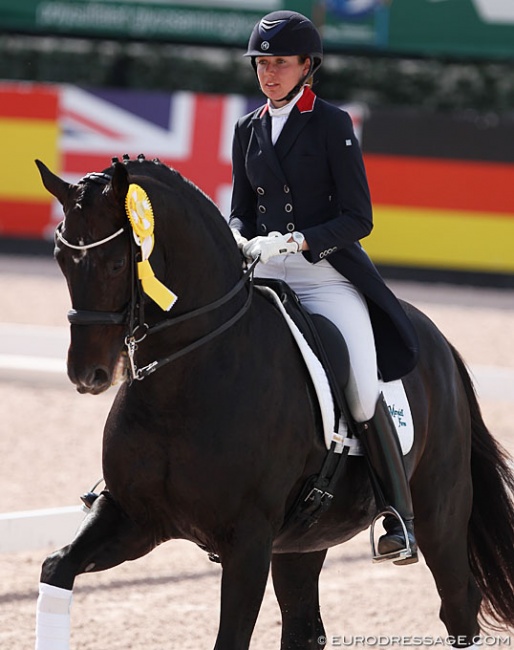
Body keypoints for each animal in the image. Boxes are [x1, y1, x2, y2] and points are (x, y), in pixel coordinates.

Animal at [36, 157, 512, 648]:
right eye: (60, 260)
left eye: (116, 263)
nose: (87, 373)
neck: (183, 381)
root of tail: (438, 343)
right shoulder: (134, 517)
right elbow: (57, 567)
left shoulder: (248, 542)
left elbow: (231, 637)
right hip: (304, 541)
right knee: (305, 627)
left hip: (440, 512)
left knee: (458, 603)